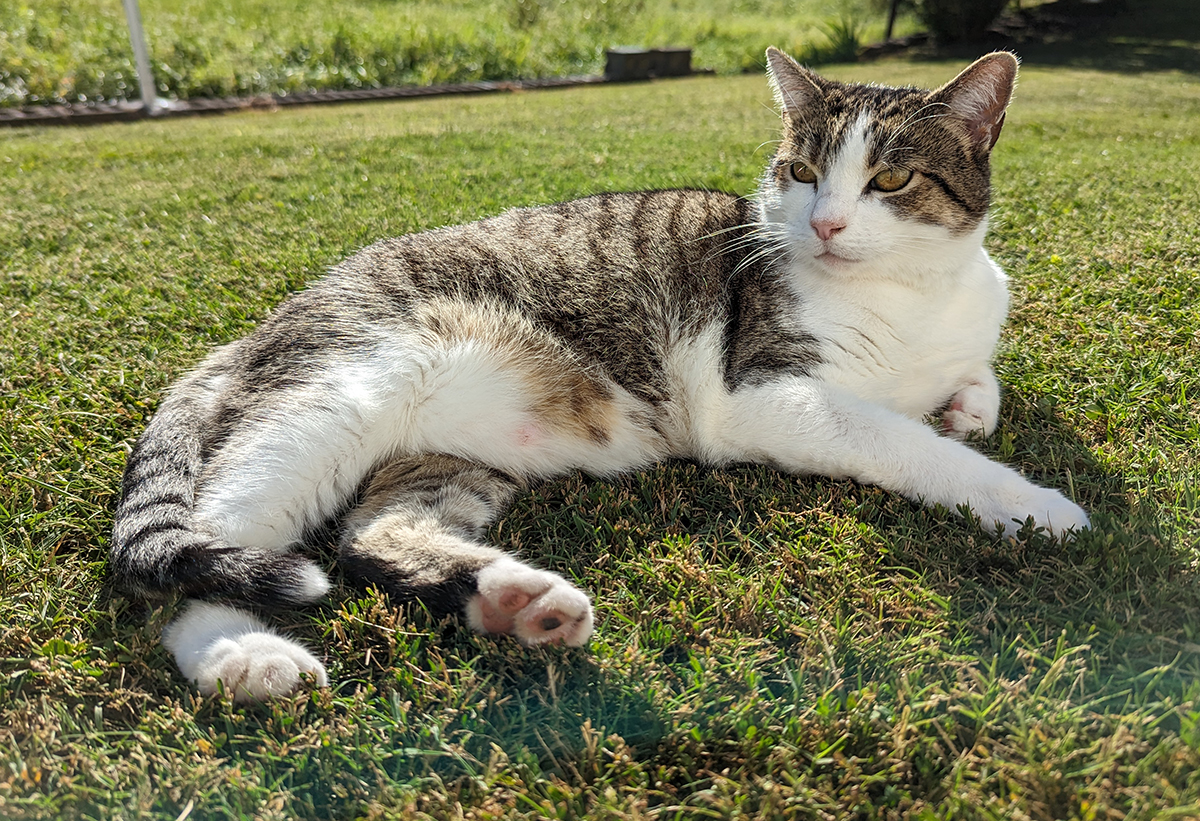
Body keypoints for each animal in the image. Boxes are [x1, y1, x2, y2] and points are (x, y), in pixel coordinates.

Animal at [110, 48, 1089, 700]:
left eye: (890, 179)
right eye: (803, 170)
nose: (825, 224)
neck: (914, 293)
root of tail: (267, 321)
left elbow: (979, 385)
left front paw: (967, 406)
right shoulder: (763, 393)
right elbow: (902, 440)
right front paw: (1032, 504)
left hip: (449, 452)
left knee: (372, 533)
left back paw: (515, 604)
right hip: (338, 398)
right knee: (184, 558)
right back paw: (242, 655)